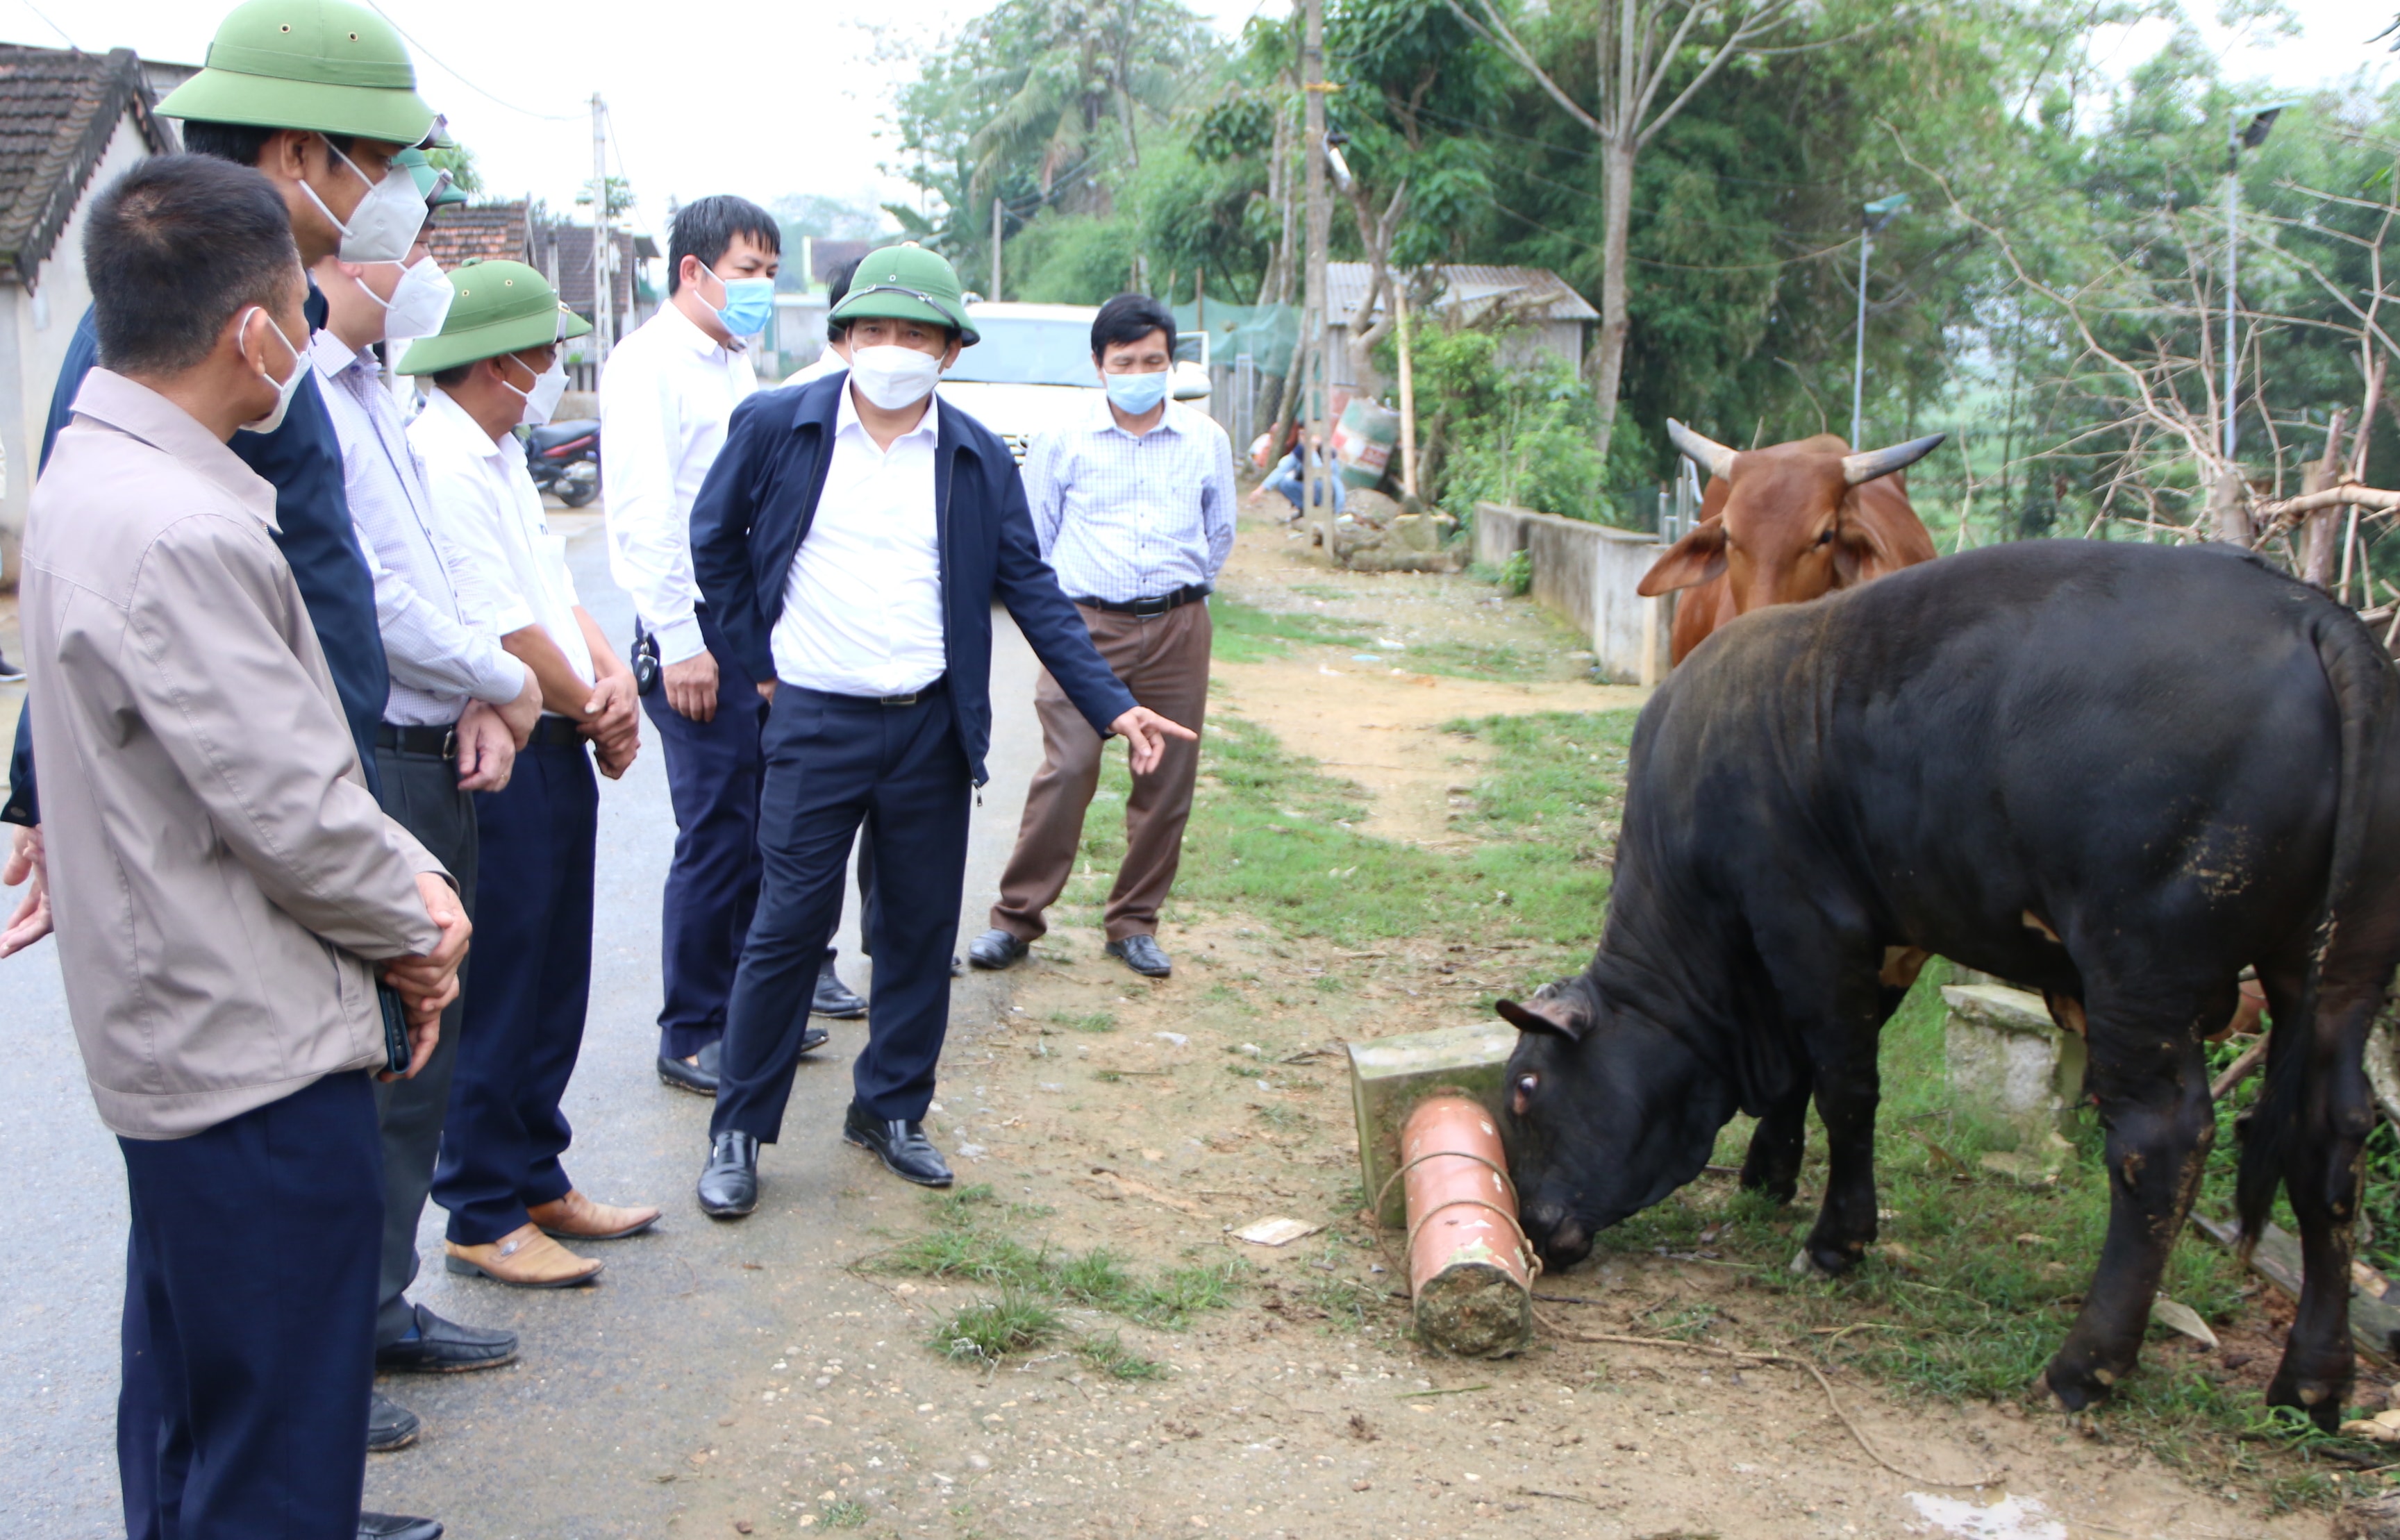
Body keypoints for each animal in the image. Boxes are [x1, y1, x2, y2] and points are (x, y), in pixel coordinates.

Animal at [1497, 537, 2400, 1420]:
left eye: (1526, 1090)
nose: (1533, 1228)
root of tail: (2309, 611)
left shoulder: (1808, 922)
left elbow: (1844, 1085)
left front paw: (1836, 1239)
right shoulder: (1882, 941)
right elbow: (1801, 1075)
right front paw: (1769, 1175)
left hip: (2142, 963)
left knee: (2163, 1140)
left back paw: (2087, 1364)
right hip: (2332, 973)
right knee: (2332, 1134)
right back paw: (2311, 1383)